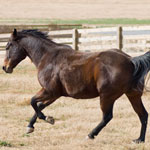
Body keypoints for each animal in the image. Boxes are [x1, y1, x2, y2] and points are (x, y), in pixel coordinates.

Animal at [2, 29, 150, 143]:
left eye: (8, 46)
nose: (5, 67)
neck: (47, 57)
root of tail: (131, 60)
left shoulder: (49, 91)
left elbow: (33, 102)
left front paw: (49, 119)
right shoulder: (54, 94)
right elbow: (39, 106)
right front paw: (30, 126)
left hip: (107, 96)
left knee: (107, 117)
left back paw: (91, 135)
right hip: (133, 95)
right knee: (143, 115)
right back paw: (139, 140)